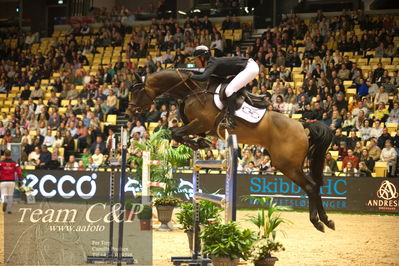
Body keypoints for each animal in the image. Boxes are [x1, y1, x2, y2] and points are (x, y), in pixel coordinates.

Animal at [130, 69, 334, 233]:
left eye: (137, 91)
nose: (131, 112)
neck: (192, 91)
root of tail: (302, 125)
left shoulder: (200, 123)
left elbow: (175, 133)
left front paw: (199, 144)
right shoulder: (198, 127)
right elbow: (178, 134)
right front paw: (200, 143)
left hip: (287, 165)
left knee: (311, 186)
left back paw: (319, 221)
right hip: (291, 165)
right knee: (314, 186)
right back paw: (327, 220)